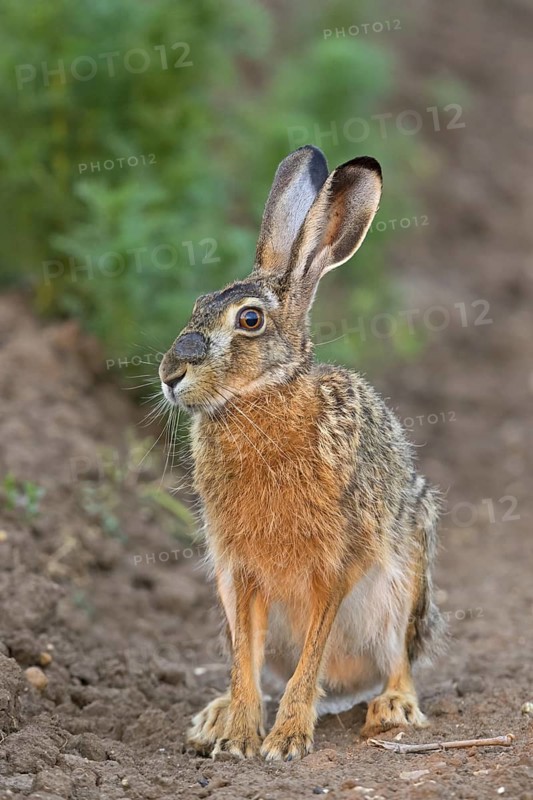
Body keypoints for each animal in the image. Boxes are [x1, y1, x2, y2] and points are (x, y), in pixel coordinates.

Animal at [159, 145, 444, 762]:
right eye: (197, 304)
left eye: (249, 320)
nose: (170, 374)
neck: (261, 397)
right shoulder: (238, 569)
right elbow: (245, 657)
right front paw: (240, 738)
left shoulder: (337, 561)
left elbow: (312, 654)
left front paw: (286, 739)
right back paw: (216, 717)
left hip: (407, 575)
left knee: (399, 658)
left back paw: (393, 707)